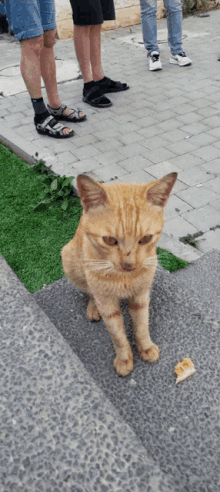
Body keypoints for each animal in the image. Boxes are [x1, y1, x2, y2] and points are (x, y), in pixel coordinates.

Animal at [61, 171, 178, 374]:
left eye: (146, 238)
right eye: (109, 240)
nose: (129, 264)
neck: (125, 277)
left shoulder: (141, 297)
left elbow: (142, 325)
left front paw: (145, 347)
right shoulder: (108, 304)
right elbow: (117, 335)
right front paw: (124, 359)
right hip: (71, 263)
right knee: (90, 292)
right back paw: (93, 308)